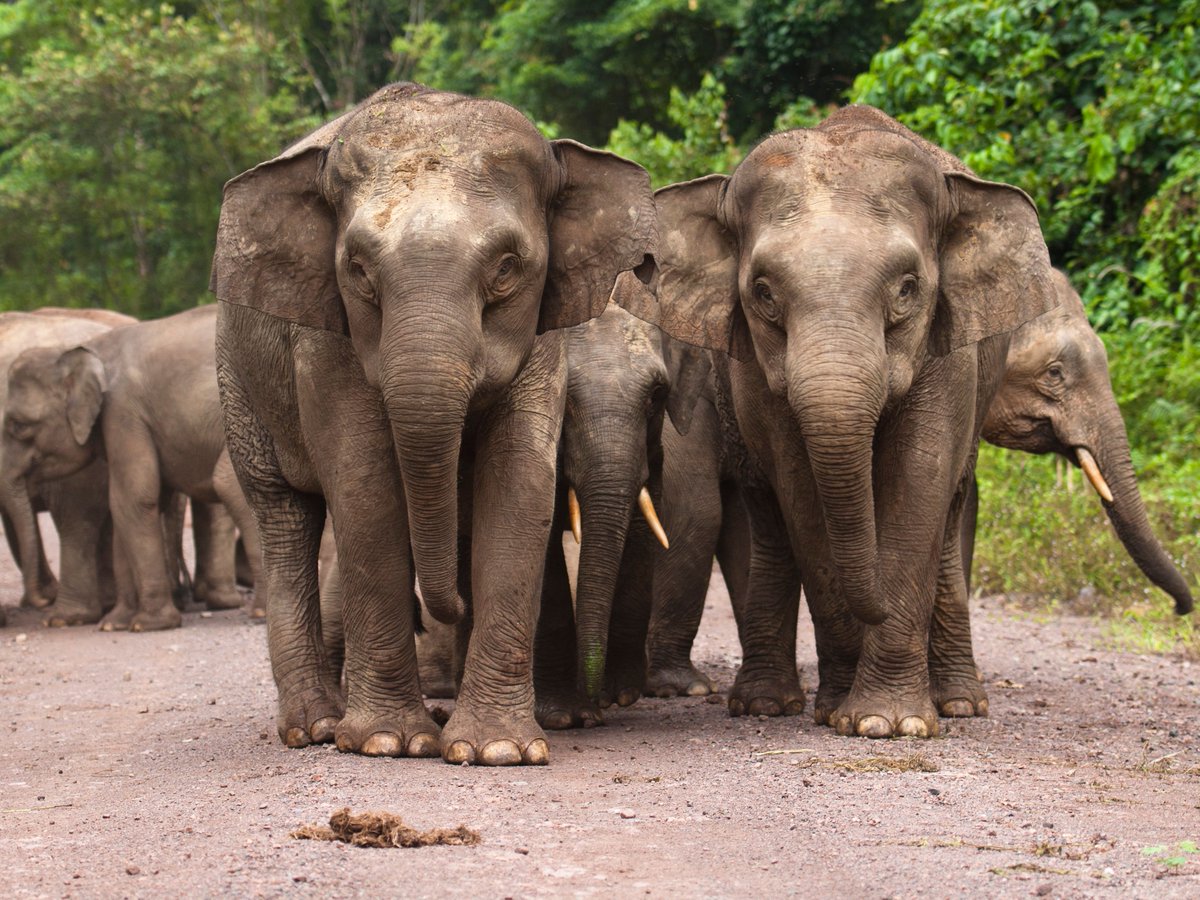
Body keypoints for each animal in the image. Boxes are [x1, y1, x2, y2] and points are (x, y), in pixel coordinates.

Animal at [210, 83, 655, 765]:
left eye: (507, 267)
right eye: (358, 271)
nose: (438, 609)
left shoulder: (542, 332)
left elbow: (520, 485)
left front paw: (496, 751)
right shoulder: (325, 333)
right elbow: (365, 487)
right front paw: (389, 742)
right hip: (239, 379)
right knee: (283, 516)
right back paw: (315, 728)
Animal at [648, 104, 1059, 738]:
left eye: (908, 289)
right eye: (763, 293)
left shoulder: (950, 354)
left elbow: (920, 480)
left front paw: (890, 723)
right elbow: (802, 492)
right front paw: (841, 711)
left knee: (950, 508)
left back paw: (960, 704)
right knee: (770, 519)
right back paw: (770, 704)